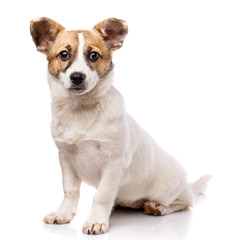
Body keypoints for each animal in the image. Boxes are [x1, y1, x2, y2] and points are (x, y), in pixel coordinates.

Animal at [29, 17, 210, 235]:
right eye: (63, 54)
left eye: (94, 55)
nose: (77, 77)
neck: (81, 109)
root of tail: (187, 184)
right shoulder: (66, 157)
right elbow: (70, 190)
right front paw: (63, 214)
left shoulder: (113, 163)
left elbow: (102, 195)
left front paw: (96, 220)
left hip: (171, 192)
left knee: (184, 203)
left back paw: (157, 206)